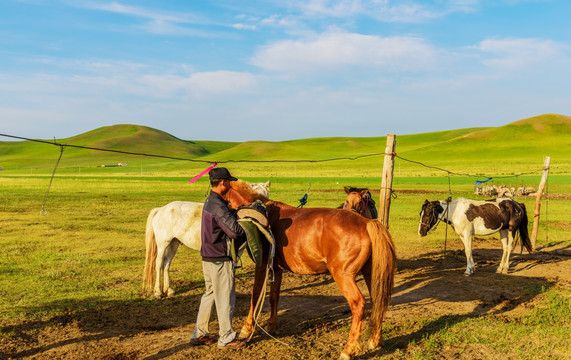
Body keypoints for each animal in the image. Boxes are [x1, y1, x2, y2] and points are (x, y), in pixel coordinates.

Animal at [142, 180, 270, 298]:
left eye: (266, 197)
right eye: (255, 197)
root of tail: (161, 209)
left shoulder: (237, 251)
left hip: (174, 243)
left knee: (166, 264)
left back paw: (169, 290)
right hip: (163, 244)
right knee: (159, 263)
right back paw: (158, 292)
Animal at [226, 187, 396, 358]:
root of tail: (366, 223)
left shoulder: (261, 266)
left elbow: (255, 295)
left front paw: (247, 328)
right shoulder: (276, 269)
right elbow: (274, 297)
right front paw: (272, 326)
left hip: (343, 276)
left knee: (358, 303)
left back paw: (348, 350)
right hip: (370, 274)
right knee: (377, 300)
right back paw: (375, 340)